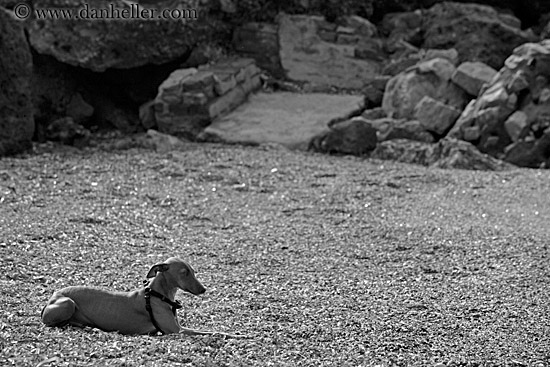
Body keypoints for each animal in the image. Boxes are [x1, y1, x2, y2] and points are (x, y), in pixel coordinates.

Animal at [42, 258, 248, 338]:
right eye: (184, 273)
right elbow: (212, 332)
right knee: (57, 323)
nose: (204, 289)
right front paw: (239, 335)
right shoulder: (176, 331)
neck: (157, 295)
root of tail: (53, 296)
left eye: (193, 271)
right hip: (68, 302)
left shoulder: (178, 328)